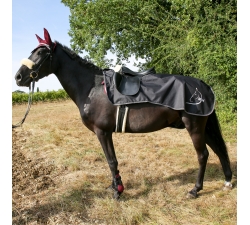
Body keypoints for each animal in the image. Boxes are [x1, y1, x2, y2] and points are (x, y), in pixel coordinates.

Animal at [13, 28, 232, 199]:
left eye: (41, 52)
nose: (18, 77)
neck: (92, 88)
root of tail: (202, 86)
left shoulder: (102, 132)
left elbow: (111, 160)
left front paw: (118, 191)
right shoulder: (106, 132)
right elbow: (112, 160)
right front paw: (114, 186)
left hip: (194, 127)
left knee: (203, 155)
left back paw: (195, 190)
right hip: (204, 127)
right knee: (219, 150)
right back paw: (228, 181)